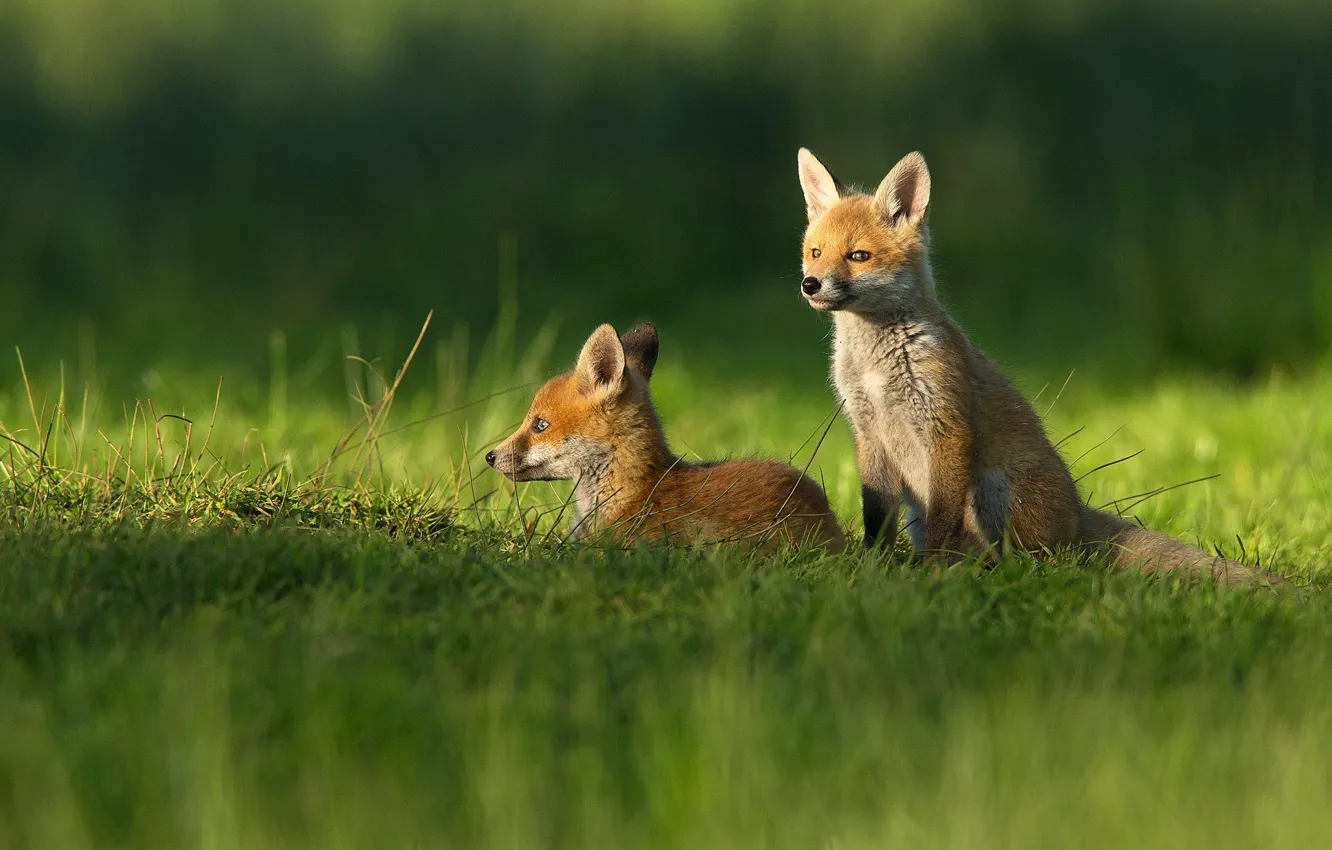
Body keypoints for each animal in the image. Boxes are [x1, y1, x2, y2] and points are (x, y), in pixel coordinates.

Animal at [793, 146, 1284, 586]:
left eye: (858, 256)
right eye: (816, 252)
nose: (809, 284)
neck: (877, 368)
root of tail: (1076, 516)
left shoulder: (946, 426)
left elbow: (941, 524)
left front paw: (928, 573)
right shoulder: (869, 433)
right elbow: (876, 520)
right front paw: (872, 567)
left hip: (994, 494)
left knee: (1037, 561)